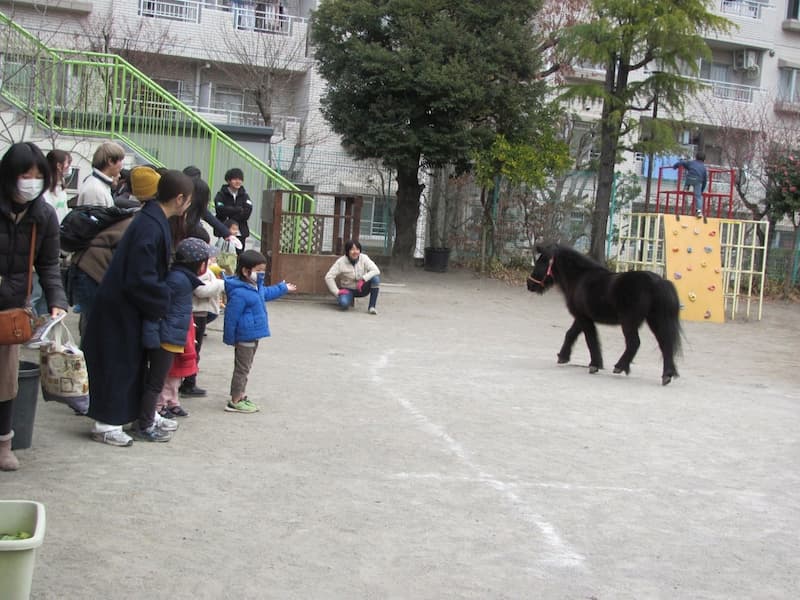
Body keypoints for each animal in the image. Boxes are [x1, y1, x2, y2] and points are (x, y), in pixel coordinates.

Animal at [524, 244, 680, 384]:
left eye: (541, 262)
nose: (529, 285)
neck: (579, 277)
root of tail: (658, 282)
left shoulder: (583, 317)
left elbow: (590, 339)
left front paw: (594, 364)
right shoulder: (582, 317)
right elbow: (571, 334)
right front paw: (563, 356)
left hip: (629, 322)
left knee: (634, 343)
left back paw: (620, 366)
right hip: (655, 321)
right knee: (665, 344)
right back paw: (667, 375)